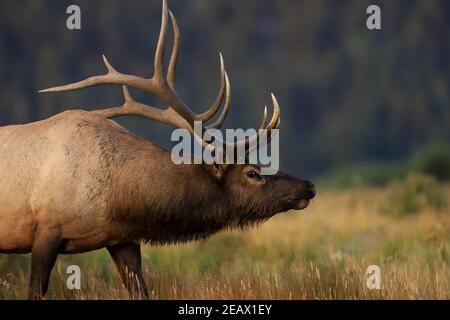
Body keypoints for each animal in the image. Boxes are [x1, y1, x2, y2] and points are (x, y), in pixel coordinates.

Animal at [0, 0, 314, 300]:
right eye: (252, 172)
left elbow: (141, 289)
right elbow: (35, 290)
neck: (117, 197)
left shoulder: (122, 239)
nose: (308, 186)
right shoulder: (46, 230)